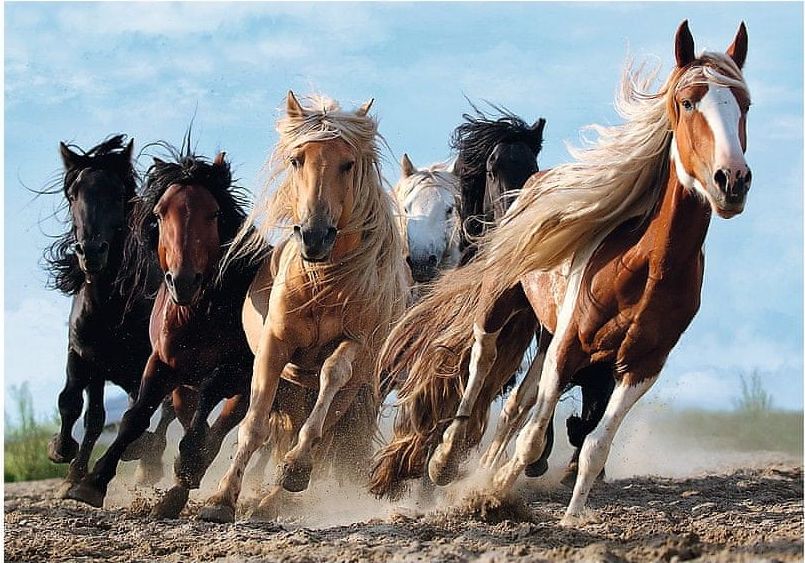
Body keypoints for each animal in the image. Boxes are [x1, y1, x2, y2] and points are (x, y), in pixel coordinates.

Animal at [42, 135, 171, 495]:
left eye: (117, 193)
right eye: (73, 194)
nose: (91, 252)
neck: (109, 307)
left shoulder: (147, 363)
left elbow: (142, 411)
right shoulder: (84, 355)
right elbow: (77, 405)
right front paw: (66, 460)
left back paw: (147, 462)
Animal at [65, 147, 262, 518]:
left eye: (214, 213)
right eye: (159, 213)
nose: (182, 281)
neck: (197, 313)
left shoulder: (236, 371)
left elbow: (207, 407)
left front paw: (187, 464)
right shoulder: (161, 363)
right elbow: (135, 417)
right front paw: (91, 483)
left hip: (246, 388)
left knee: (218, 431)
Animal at [199, 92, 409, 523]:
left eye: (348, 163)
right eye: (297, 159)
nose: (314, 236)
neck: (323, 282)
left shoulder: (355, 345)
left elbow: (332, 376)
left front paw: (295, 467)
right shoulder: (275, 347)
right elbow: (254, 426)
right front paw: (220, 498)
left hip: (351, 393)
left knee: (323, 433)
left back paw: (275, 497)